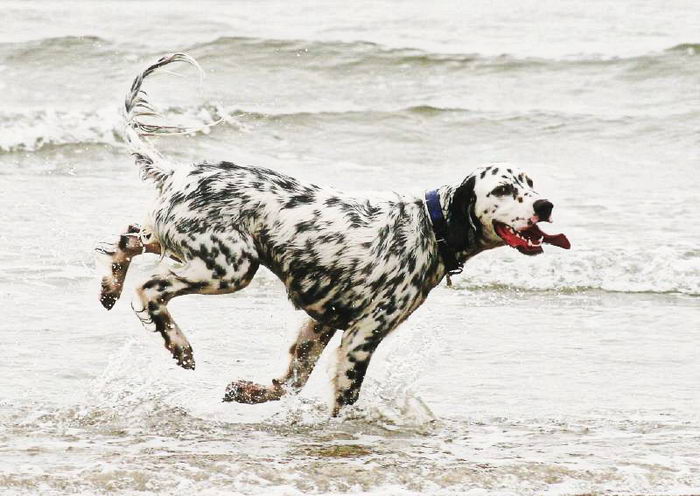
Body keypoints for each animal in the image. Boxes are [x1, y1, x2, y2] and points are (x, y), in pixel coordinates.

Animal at [97, 53, 568, 414]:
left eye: (530, 183)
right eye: (504, 190)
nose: (545, 205)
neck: (429, 227)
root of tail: (178, 173)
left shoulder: (322, 322)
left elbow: (291, 379)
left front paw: (248, 391)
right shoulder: (364, 332)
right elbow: (343, 395)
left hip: (182, 240)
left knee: (126, 239)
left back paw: (109, 288)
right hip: (230, 266)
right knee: (151, 287)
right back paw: (179, 345)